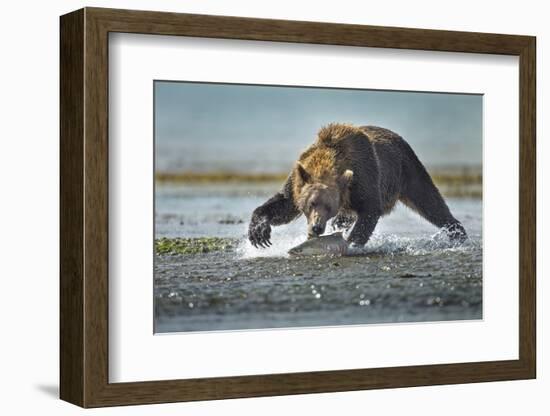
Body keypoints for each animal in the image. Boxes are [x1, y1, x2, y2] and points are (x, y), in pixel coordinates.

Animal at [248, 122, 468, 247]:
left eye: (329, 206)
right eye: (310, 204)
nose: (317, 227)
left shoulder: (363, 177)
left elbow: (370, 209)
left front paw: (351, 242)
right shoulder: (298, 179)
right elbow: (284, 204)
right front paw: (258, 232)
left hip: (407, 169)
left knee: (429, 202)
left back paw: (458, 233)